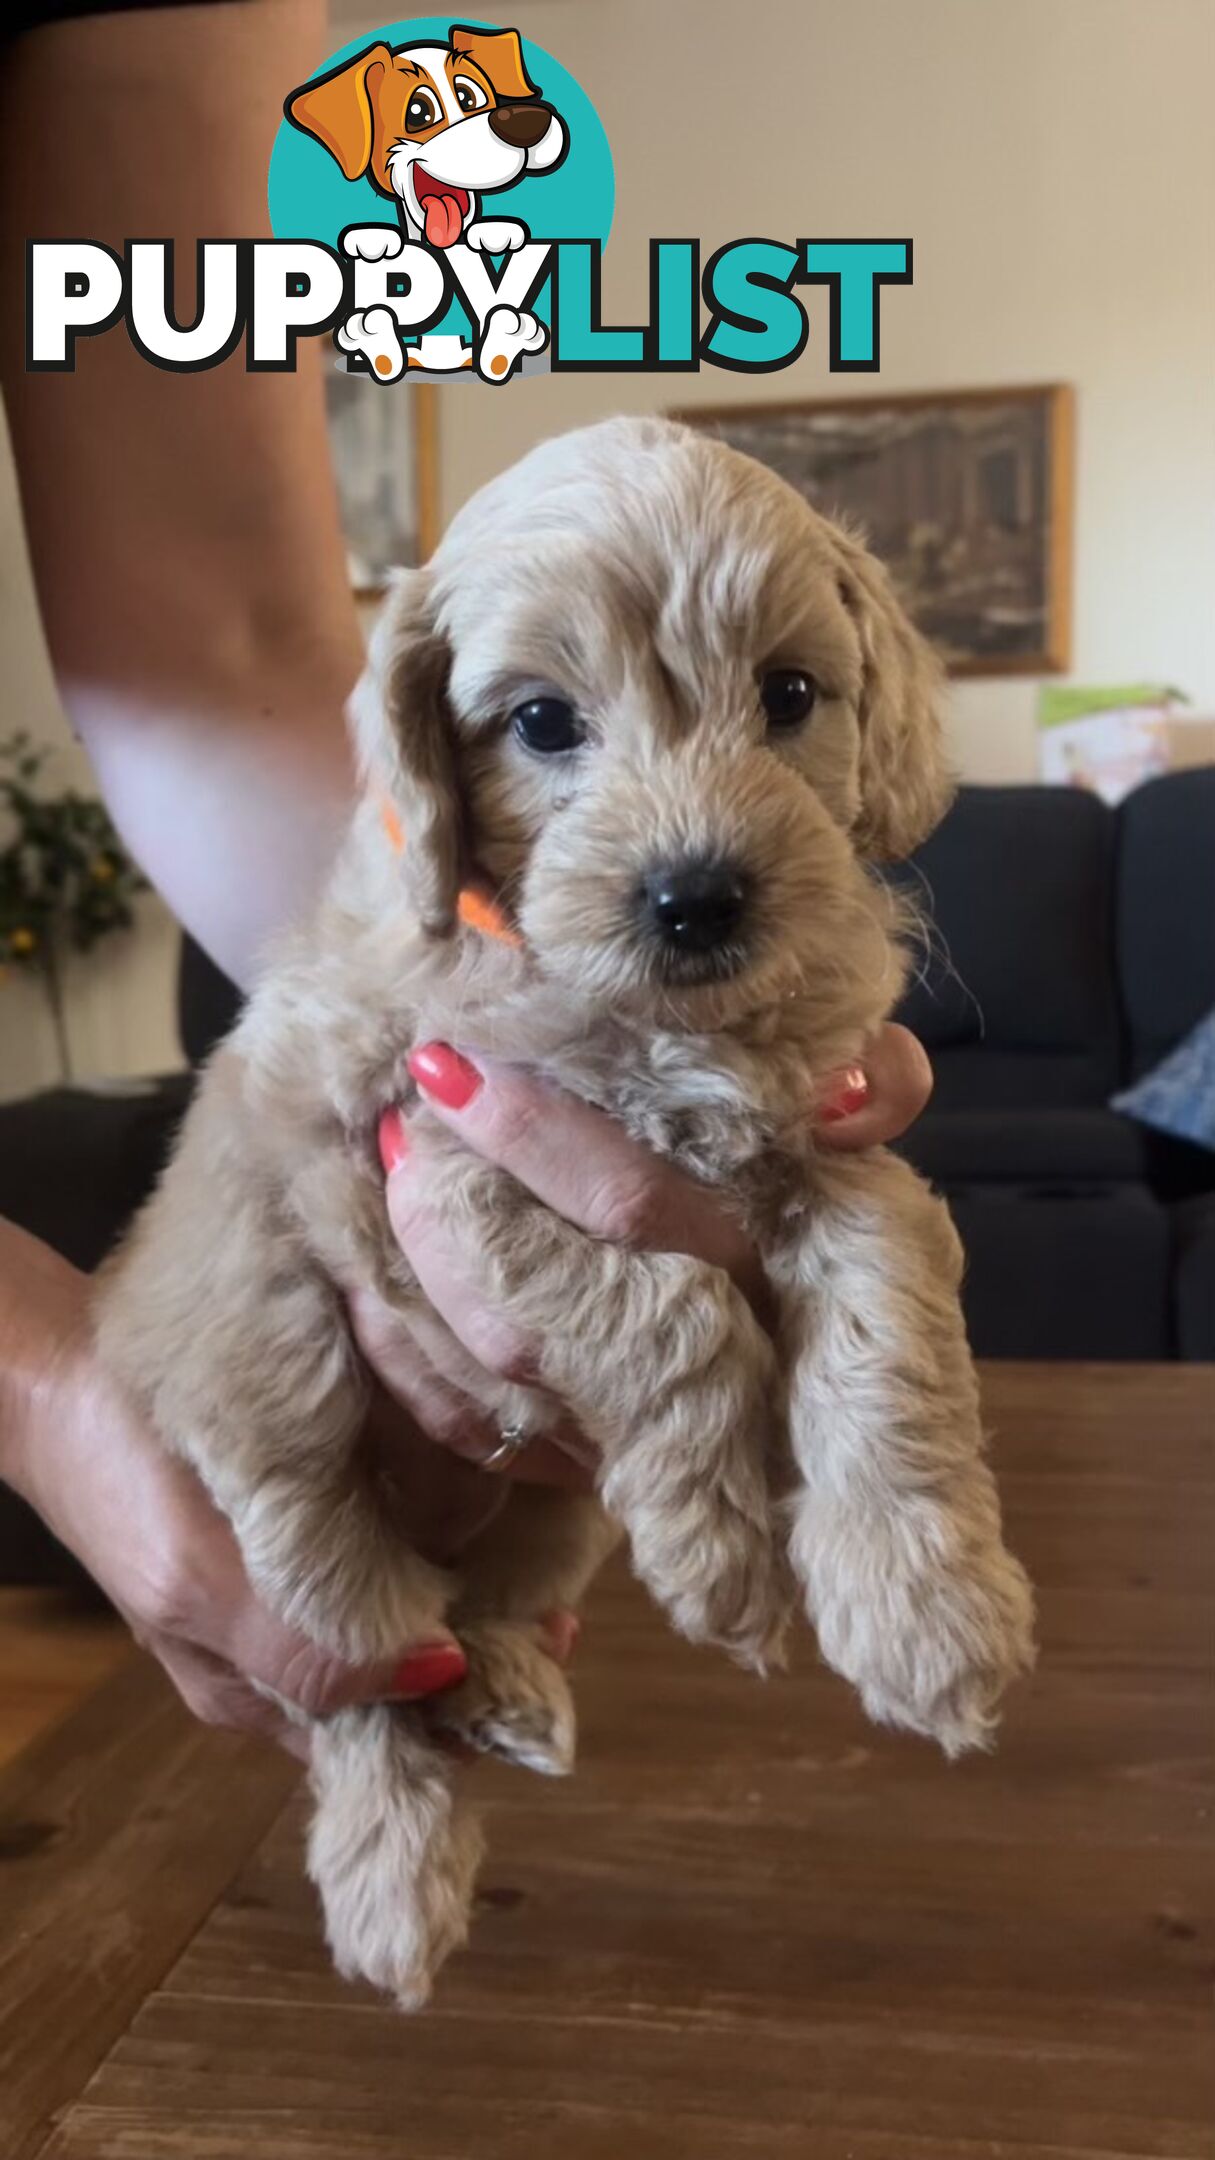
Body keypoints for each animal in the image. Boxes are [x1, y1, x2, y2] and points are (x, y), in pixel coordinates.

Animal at [94, 416, 1029, 2004]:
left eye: (790, 695)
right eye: (540, 723)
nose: (696, 896)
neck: (663, 1028)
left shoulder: (838, 1150)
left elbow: (884, 1328)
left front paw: (926, 1605)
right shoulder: (446, 1153)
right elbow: (668, 1306)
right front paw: (717, 1545)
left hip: (544, 1523)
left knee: (482, 1612)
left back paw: (515, 1692)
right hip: (278, 1420)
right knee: (359, 1667)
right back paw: (395, 1878)